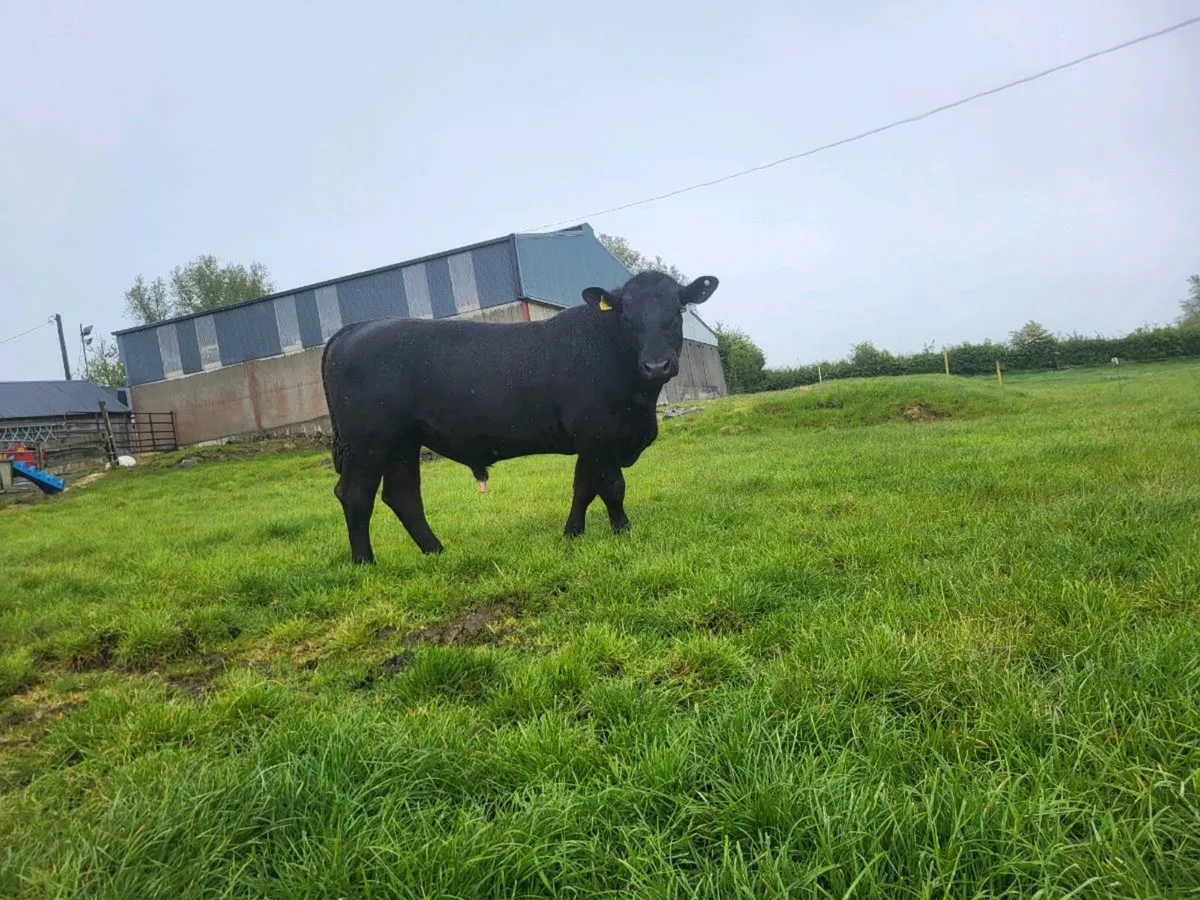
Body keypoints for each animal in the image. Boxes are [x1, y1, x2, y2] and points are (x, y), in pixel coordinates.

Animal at [320, 269, 719, 563]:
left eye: (677, 312)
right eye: (626, 316)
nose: (656, 365)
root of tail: (358, 327)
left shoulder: (588, 442)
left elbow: (582, 487)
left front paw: (572, 533)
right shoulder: (597, 435)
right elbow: (611, 487)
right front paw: (623, 530)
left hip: (403, 443)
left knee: (403, 497)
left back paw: (436, 552)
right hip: (368, 441)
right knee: (355, 495)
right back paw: (365, 563)